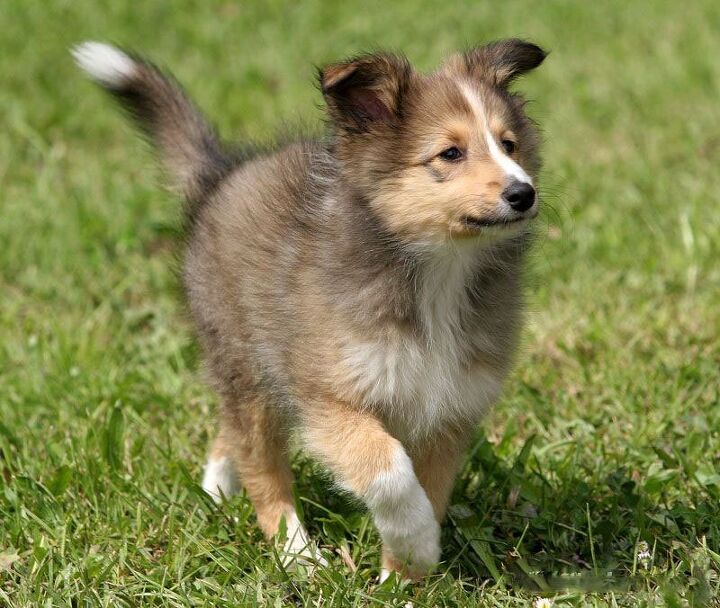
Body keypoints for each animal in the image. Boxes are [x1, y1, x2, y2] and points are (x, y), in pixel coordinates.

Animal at [73, 38, 544, 580]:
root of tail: (221, 175)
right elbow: (388, 470)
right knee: (261, 465)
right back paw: (295, 552)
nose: (524, 192)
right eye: (450, 153)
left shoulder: (449, 410)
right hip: (247, 363)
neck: (439, 273)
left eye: (509, 145)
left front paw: (403, 578)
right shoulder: (329, 396)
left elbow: (429, 489)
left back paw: (219, 494)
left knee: (232, 436)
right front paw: (417, 547)